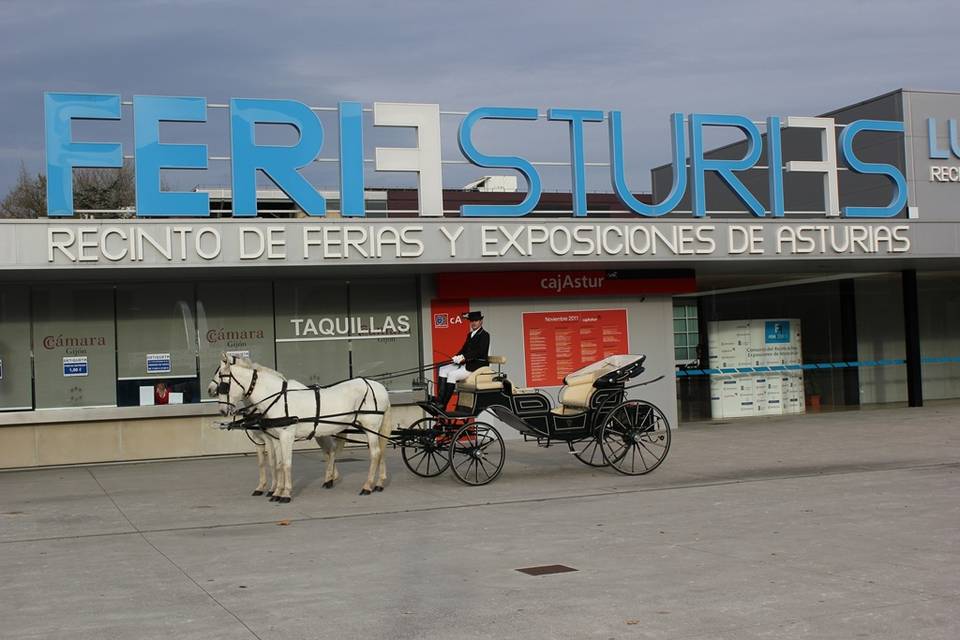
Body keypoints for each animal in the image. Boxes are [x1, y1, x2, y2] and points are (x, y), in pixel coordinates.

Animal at [208, 356, 392, 500]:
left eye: (223, 383)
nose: (222, 410)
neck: (276, 398)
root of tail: (378, 387)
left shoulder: (285, 436)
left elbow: (285, 464)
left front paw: (284, 494)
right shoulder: (274, 438)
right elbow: (277, 464)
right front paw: (275, 492)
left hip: (370, 426)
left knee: (375, 453)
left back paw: (367, 486)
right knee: (374, 451)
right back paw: (375, 483)